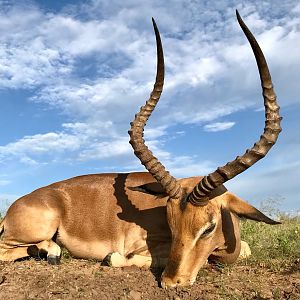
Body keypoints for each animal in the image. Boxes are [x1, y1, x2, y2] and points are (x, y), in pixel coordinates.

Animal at [0, 11, 282, 288]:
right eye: (171, 221)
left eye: (209, 227)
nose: (171, 282)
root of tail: (18, 205)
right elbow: (121, 257)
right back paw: (53, 253)